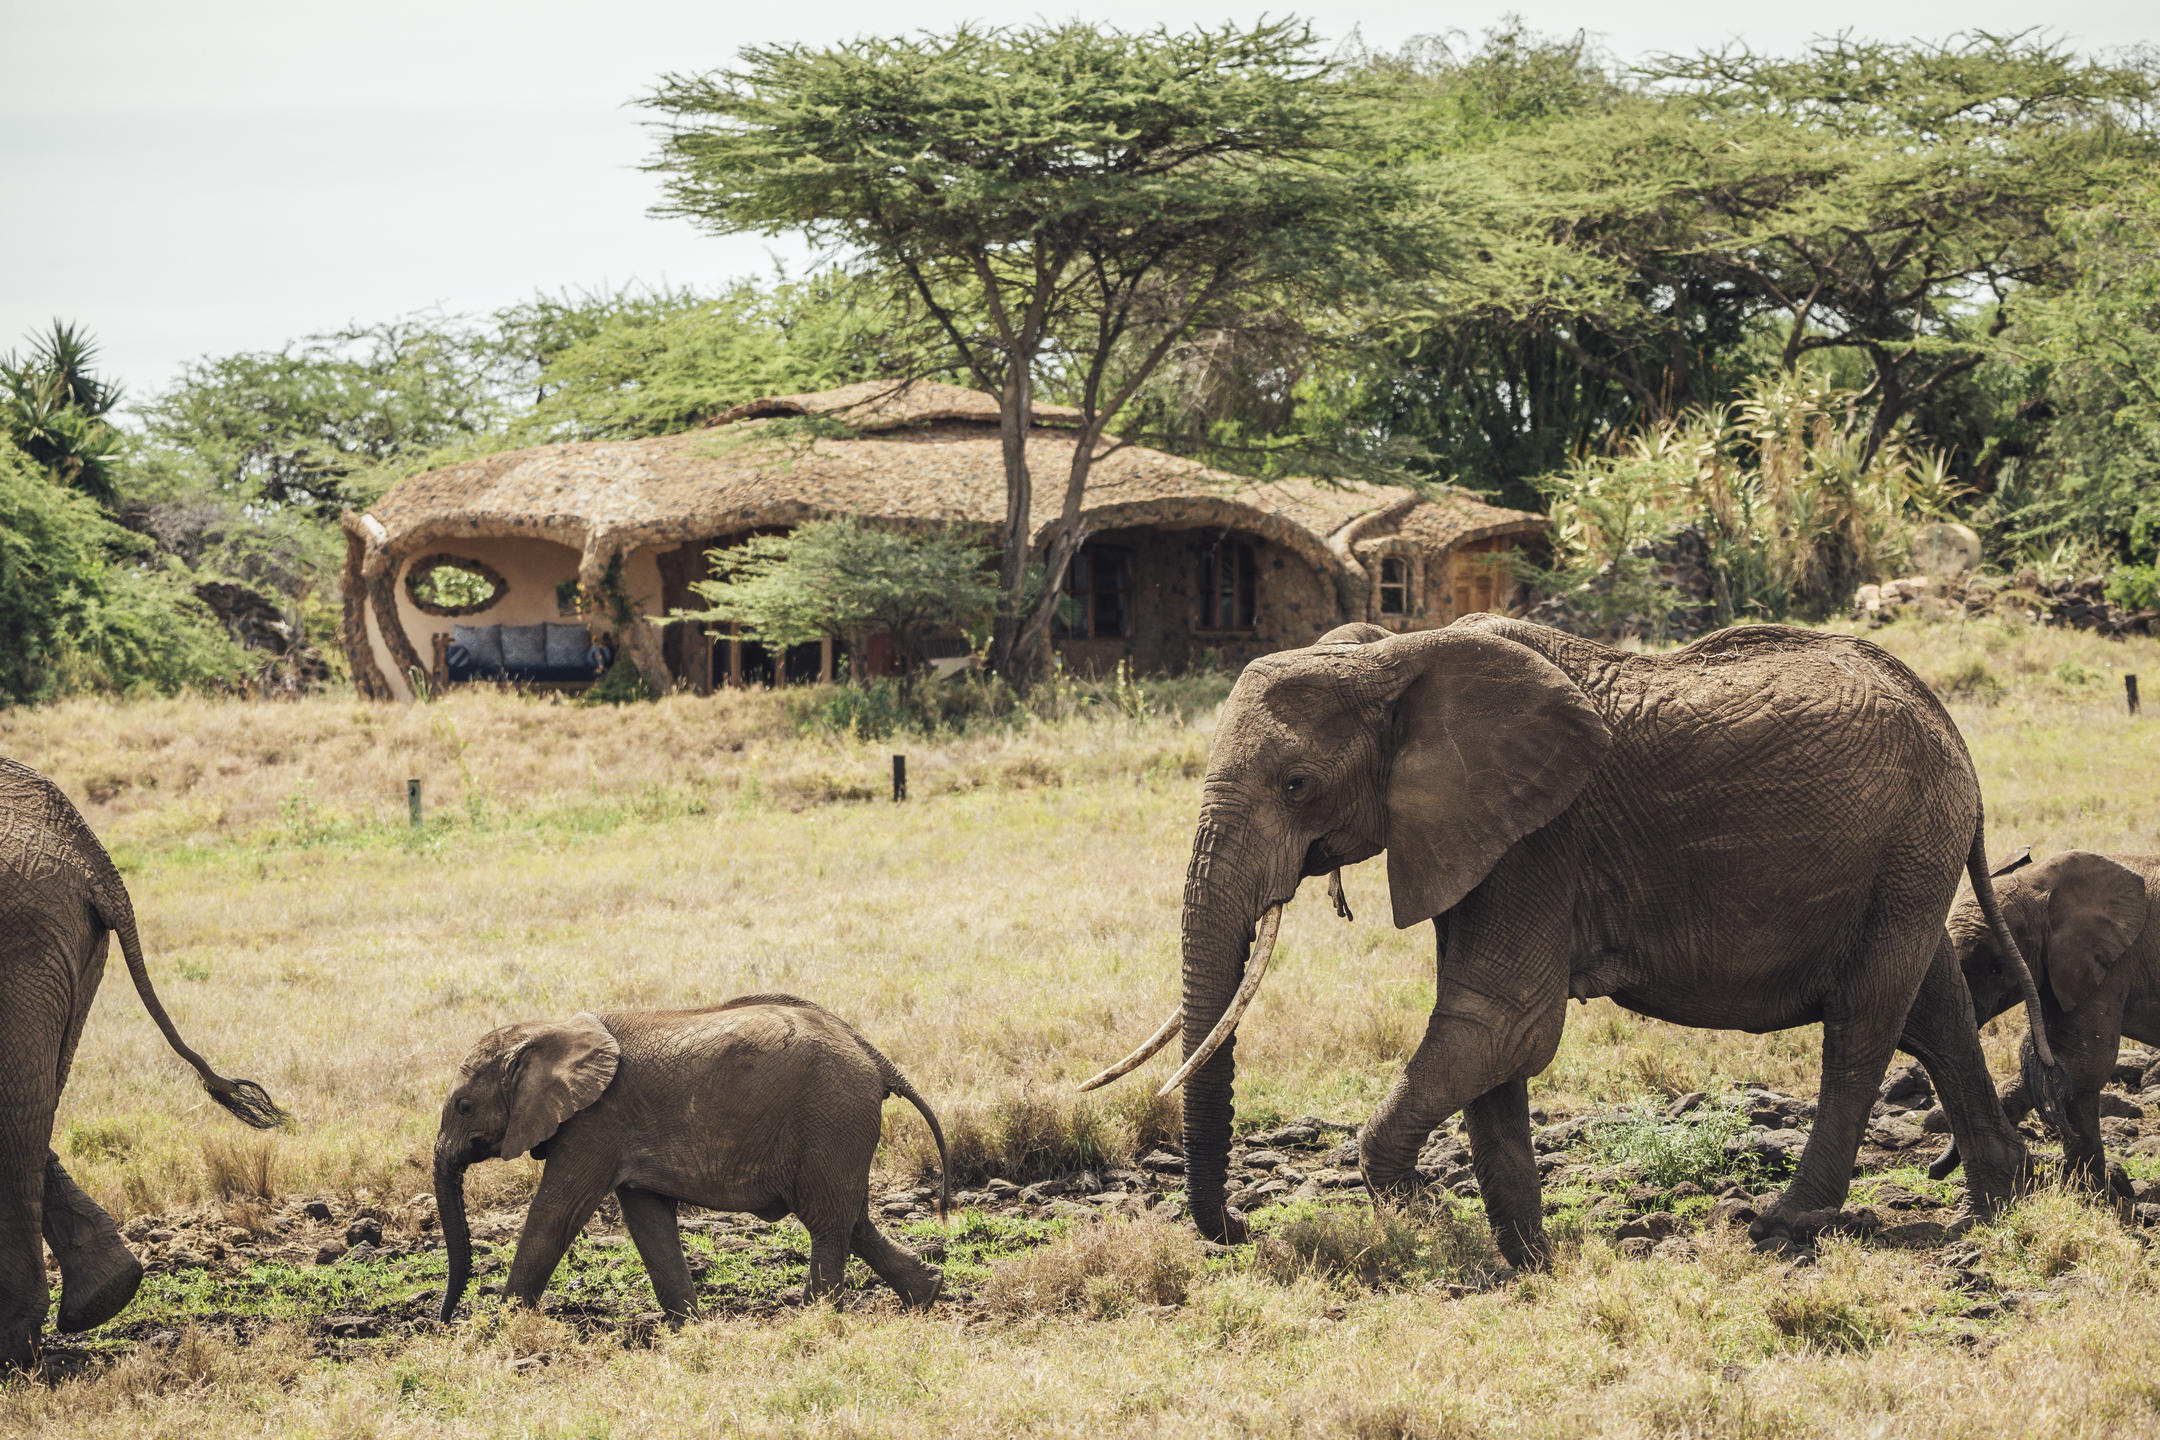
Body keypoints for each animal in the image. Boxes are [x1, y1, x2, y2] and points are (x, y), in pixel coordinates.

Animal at [432, 997, 946, 1321]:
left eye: (464, 1107)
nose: (443, 1320)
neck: (550, 1029)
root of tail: (875, 1058)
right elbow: (648, 1220)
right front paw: (689, 1327)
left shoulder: (595, 1124)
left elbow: (555, 1215)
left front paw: (499, 1329)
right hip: (839, 1128)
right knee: (851, 1219)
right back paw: (927, 1294)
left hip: (829, 1117)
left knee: (826, 1221)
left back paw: (815, 1318)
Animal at [1088, 613, 2047, 1269]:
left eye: (1296, 784)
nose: (1241, 1229)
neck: (1397, 652)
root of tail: (1948, 722)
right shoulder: (1478, 834)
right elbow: (1489, 1042)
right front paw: (1525, 1259)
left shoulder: (1539, 838)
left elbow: (1500, 1022)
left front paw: (1427, 1224)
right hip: (1906, 858)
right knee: (1932, 1006)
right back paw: (2006, 1201)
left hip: (1907, 839)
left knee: (1863, 1022)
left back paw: (1782, 1225)